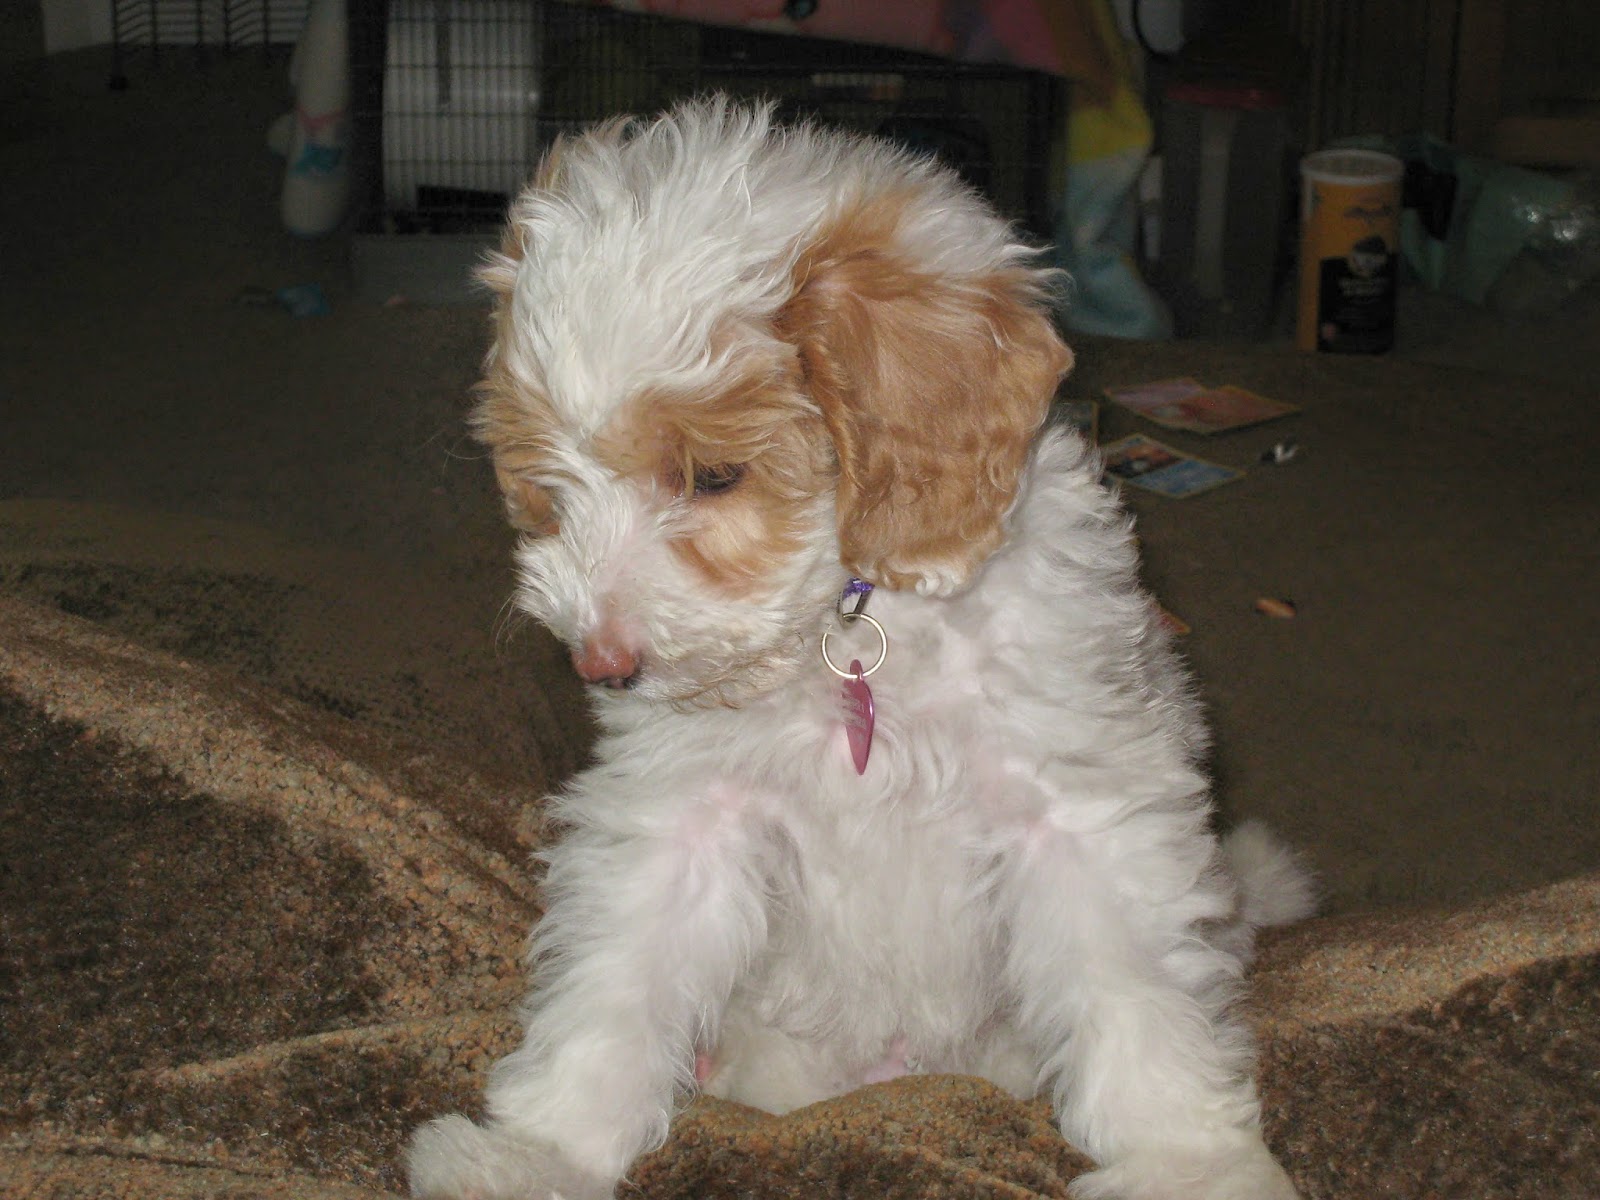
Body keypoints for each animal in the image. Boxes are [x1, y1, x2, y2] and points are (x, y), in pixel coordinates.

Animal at [408, 97, 1314, 1200]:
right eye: (552, 483)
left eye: (714, 475)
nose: (603, 666)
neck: (851, 628)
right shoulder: (684, 815)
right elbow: (616, 984)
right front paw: (540, 1153)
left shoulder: (1076, 808)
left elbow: (1134, 997)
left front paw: (1187, 1163)